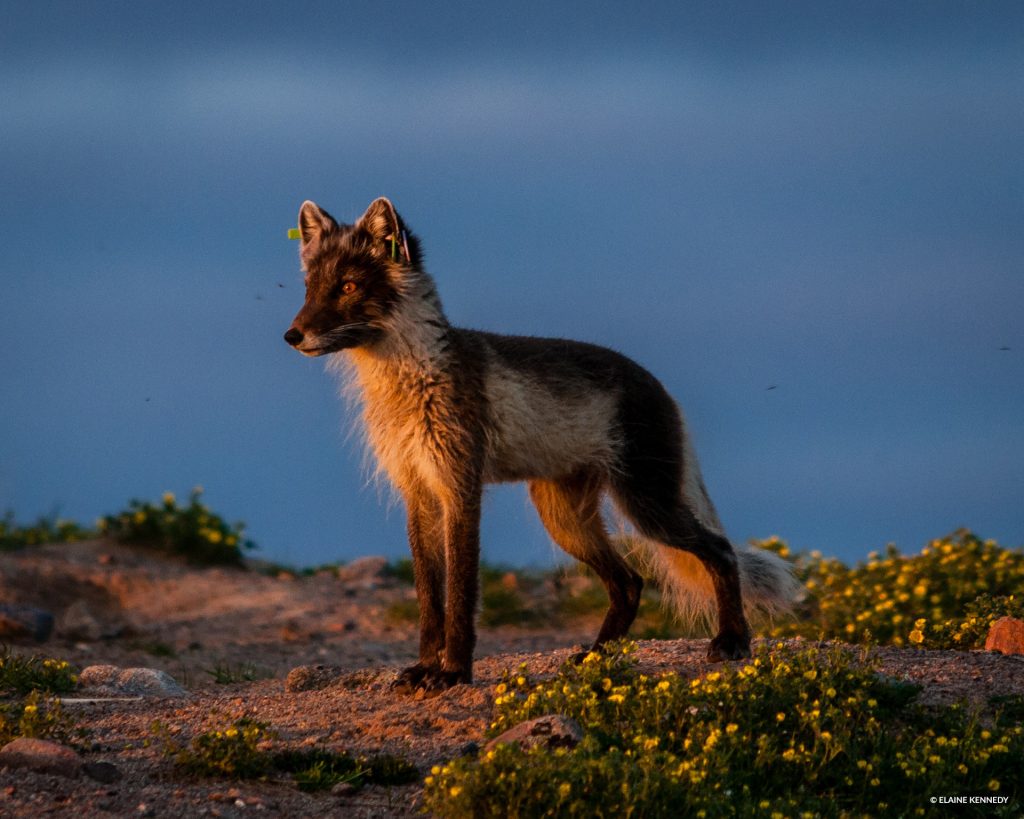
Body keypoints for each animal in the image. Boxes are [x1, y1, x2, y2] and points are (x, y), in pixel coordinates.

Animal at [284, 197, 799, 694]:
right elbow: (429, 599)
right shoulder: (419, 492)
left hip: (646, 506)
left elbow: (460, 595)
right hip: (565, 519)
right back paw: (596, 657)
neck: (404, 383)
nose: (292, 335)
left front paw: (453, 673)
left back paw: (732, 640)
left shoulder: (460, 488)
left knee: (720, 551)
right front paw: (425, 667)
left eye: (349, 287)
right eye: (310, 288)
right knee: (630, 583)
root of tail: (660, 387)